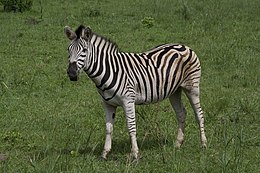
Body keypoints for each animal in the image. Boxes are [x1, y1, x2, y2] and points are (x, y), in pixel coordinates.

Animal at [64, 25, 206, 160]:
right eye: (68, 50)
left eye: (84, 50)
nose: (71, 73)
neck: (109, 70)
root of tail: (183, 45)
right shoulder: (108, 104)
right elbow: (109, 128)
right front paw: (104, 154)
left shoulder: (128, 101)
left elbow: (131, 127)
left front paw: (135, 154)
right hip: (174, 91)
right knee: (181, 113)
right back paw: (177, 144)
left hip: (192, 87)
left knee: (199, 114)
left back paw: (203, 145)